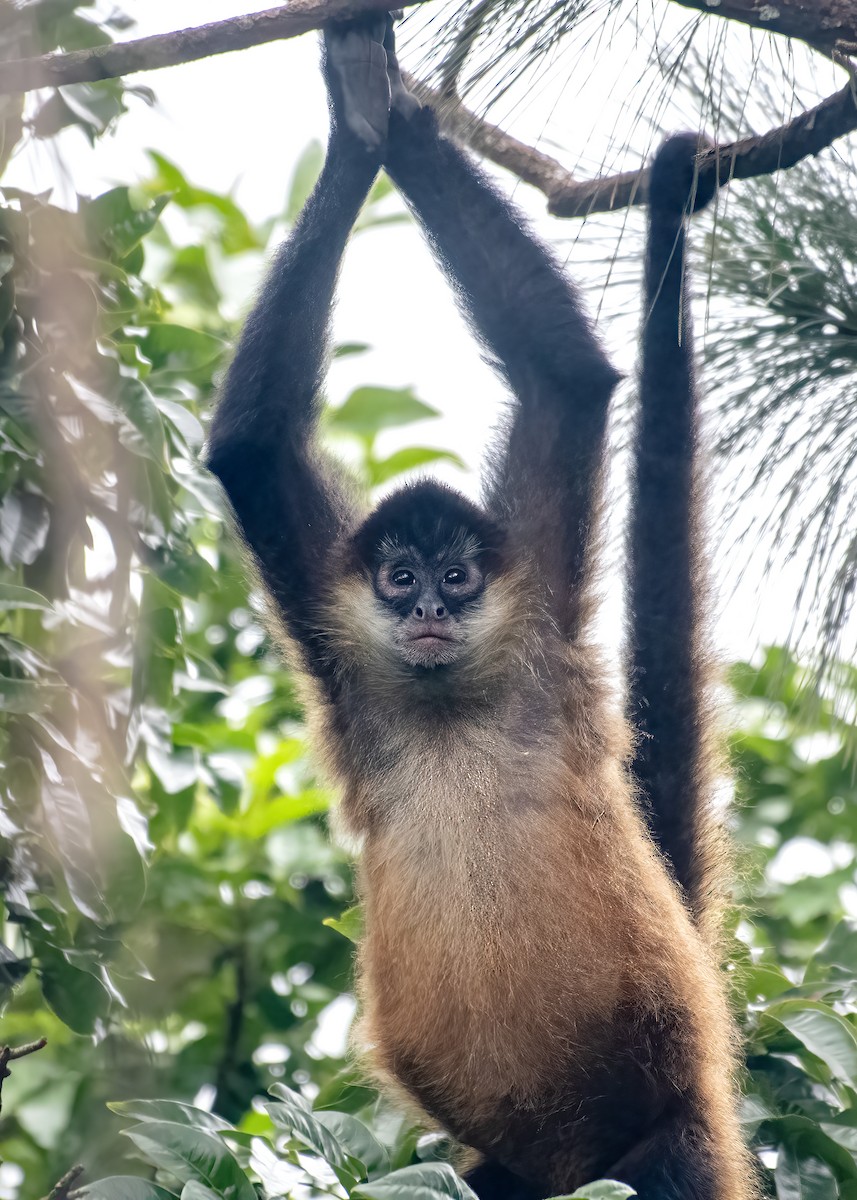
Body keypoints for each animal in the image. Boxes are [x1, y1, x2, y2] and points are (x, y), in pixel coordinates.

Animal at [207, 17, 755, 1200]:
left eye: (457, 575)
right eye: (398, 577)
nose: (429, 608)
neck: (446, 693)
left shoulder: (536, 600)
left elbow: (568, 377)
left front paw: (388, 111)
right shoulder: (341, 637)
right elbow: (249, 449)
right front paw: (358, 104)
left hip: (669, 1140)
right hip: (492, 1168)